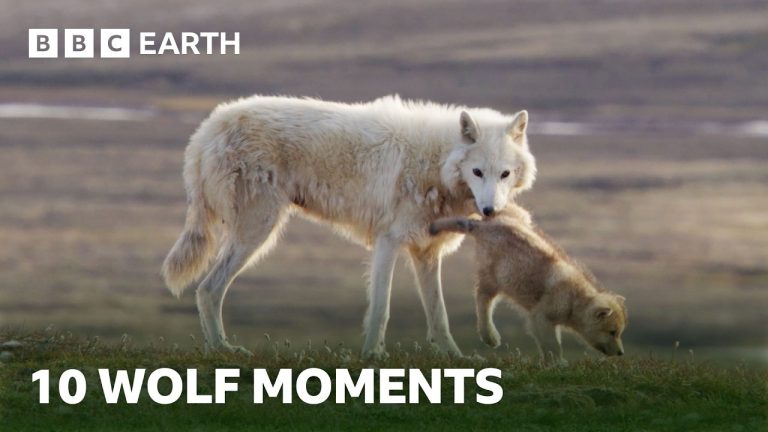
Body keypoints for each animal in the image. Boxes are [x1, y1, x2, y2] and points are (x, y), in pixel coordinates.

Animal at [161, 95, 536, 359]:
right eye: (477, 172)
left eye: (504, 174)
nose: (490, 211)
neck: (436, 162)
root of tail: (208, 128)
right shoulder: (388, 242)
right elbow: (381, 308)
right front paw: (372, 356)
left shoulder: (426, 254)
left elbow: (438, 315)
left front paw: (455, 358)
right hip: (258, 232)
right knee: (208, 290)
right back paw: (222, 350)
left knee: (208, 290)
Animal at [429, 204, 627, 362]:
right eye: (612, 331)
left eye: (619, 332)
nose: (621, 353)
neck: (573, 301)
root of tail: (485, 227)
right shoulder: (542, 315)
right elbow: (551, 343)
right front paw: (557, 362)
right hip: (495, 275)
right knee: (482, 296)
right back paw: (490, 335)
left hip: (519, 217)